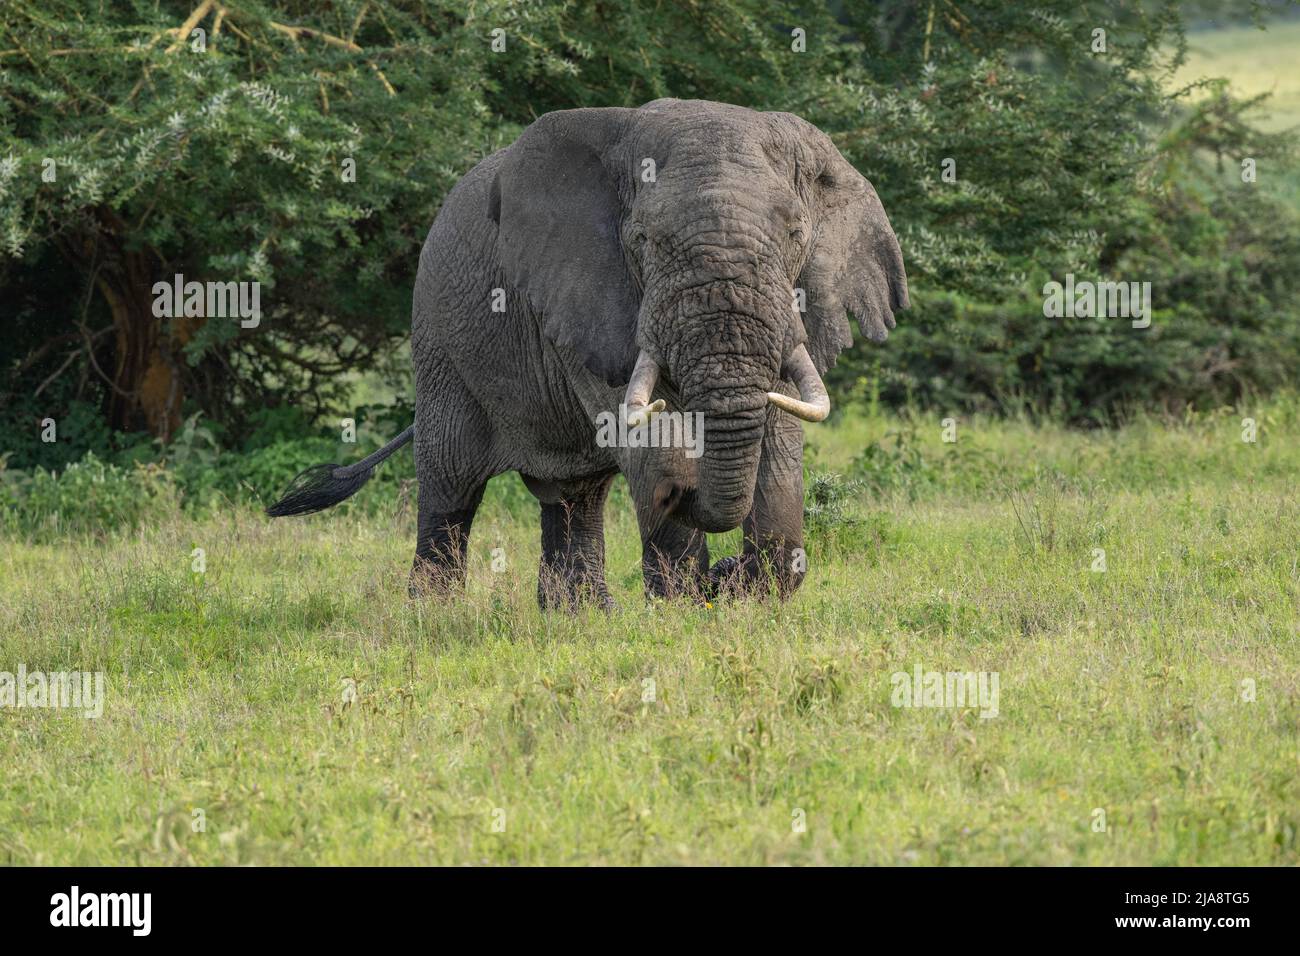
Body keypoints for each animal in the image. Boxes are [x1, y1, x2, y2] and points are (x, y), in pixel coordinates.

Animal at [267, 100, 909, 608]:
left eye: (796, 235)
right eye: (642, 241)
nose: (723, 573)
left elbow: (779, 441)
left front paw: (742, 590)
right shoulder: (589, 299)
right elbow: (647, 435)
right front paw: (683, 609)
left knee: (575, 496)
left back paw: (579, 619)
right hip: (437, 339)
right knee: (450, 488)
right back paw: (433, 617)